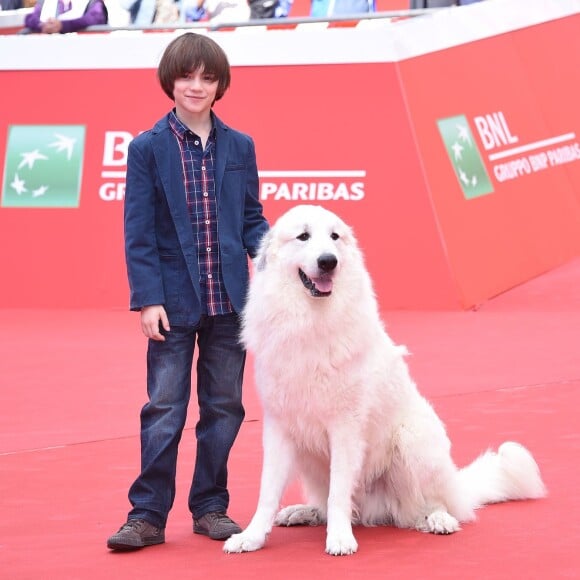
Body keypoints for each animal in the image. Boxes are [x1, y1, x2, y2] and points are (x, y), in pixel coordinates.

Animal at [224, 205, 548, 556]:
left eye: (334, 237)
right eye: (303, 236)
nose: (328, 261)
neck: (309, 320)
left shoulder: (345, 428)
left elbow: (339, 492)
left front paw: (340, 539)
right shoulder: (279, 428)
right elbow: (268, 493)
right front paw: (252, 537)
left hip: (412, 442)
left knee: (426, 507)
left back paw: (438, 519)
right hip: (310, 459)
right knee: (342, 505)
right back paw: (304, 513)